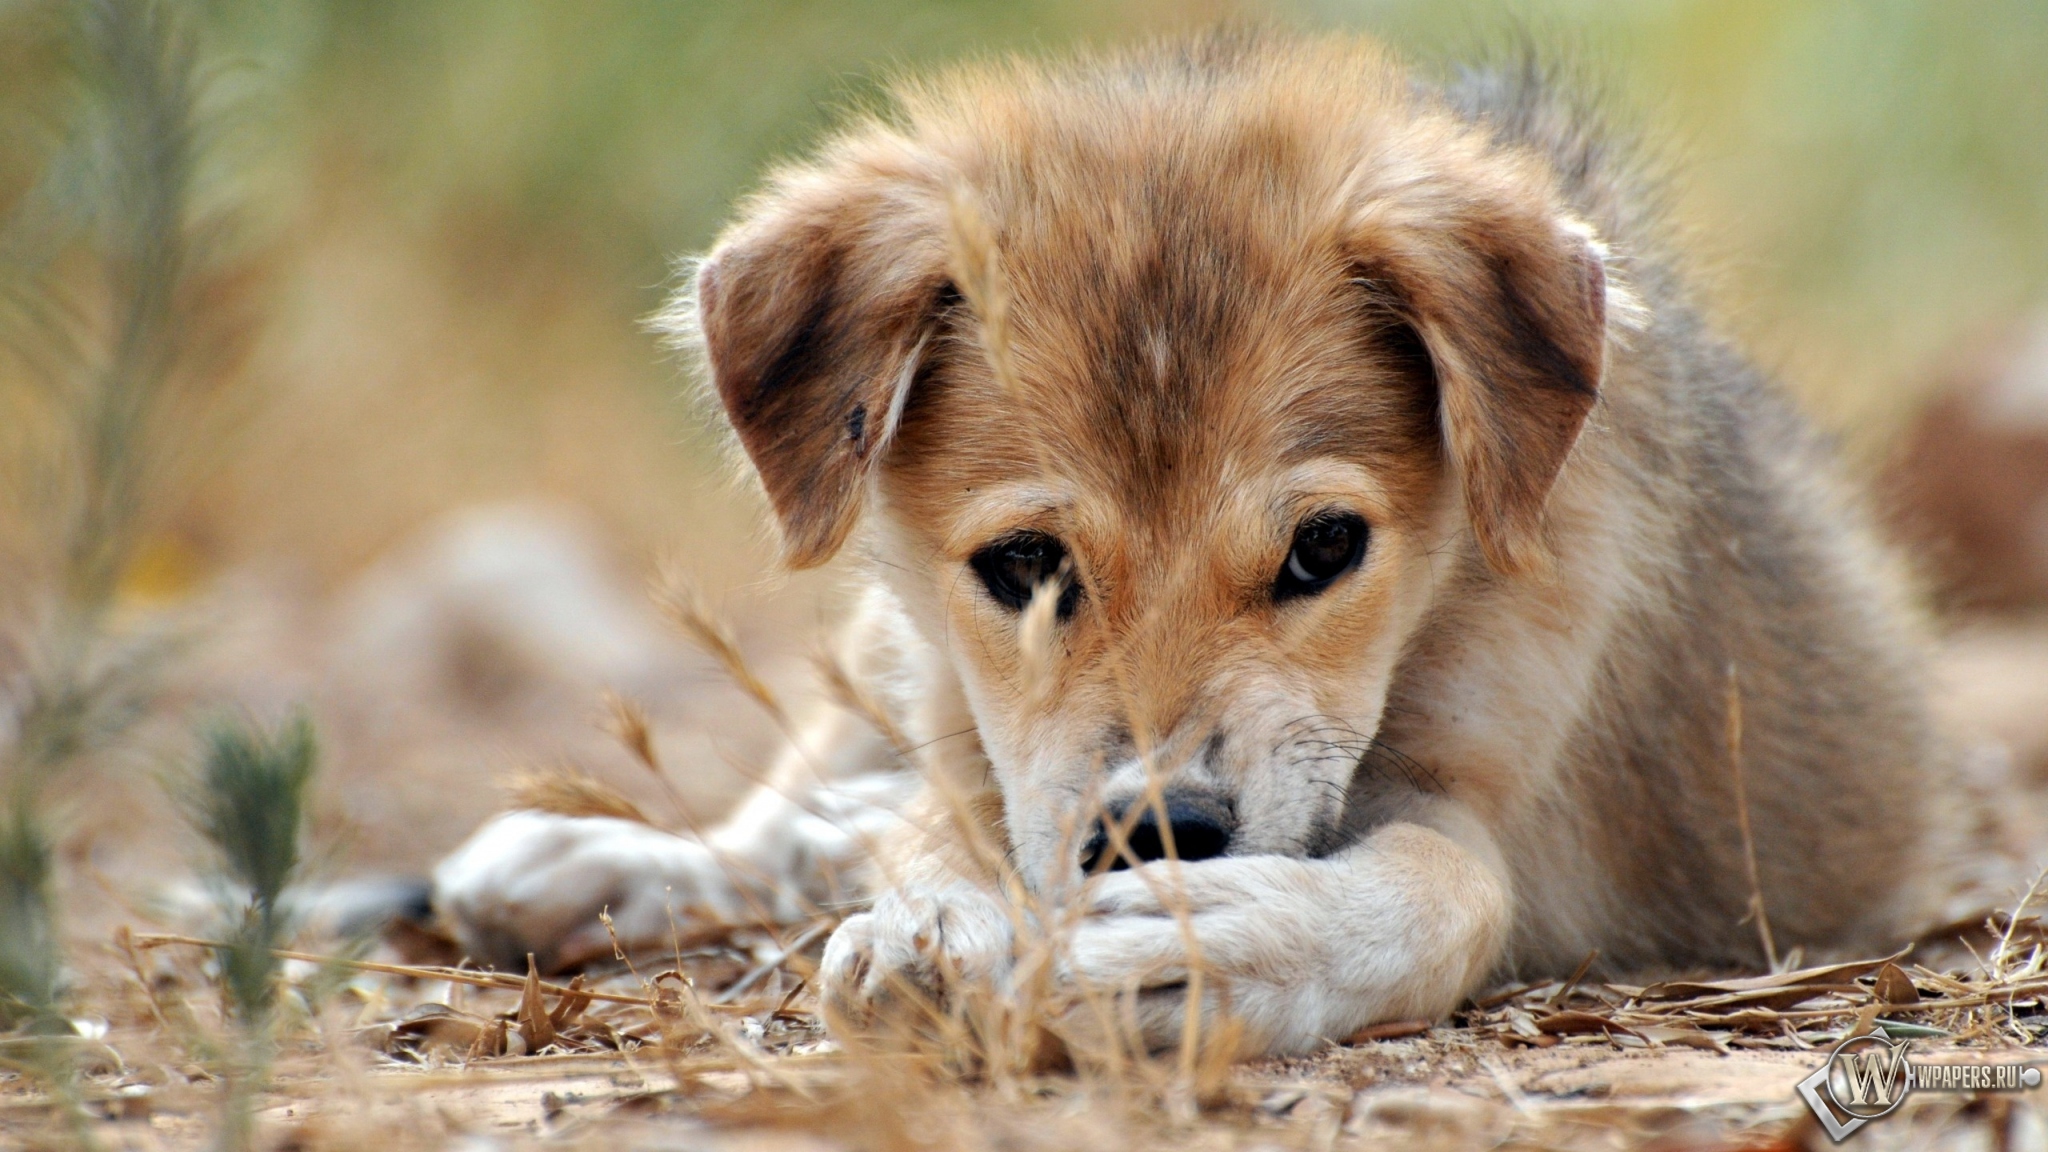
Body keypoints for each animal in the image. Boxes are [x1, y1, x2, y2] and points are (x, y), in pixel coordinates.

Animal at [428, 35, 1982, 1057]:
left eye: (1324, 550)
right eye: (1023, 567)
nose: (1158, 833)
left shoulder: (1492, 798)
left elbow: (1438, 891)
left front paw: (1207, 946)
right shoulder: (965, 707)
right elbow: (946, 819)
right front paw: (940, 923)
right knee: (796, 806)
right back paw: (600, 859)